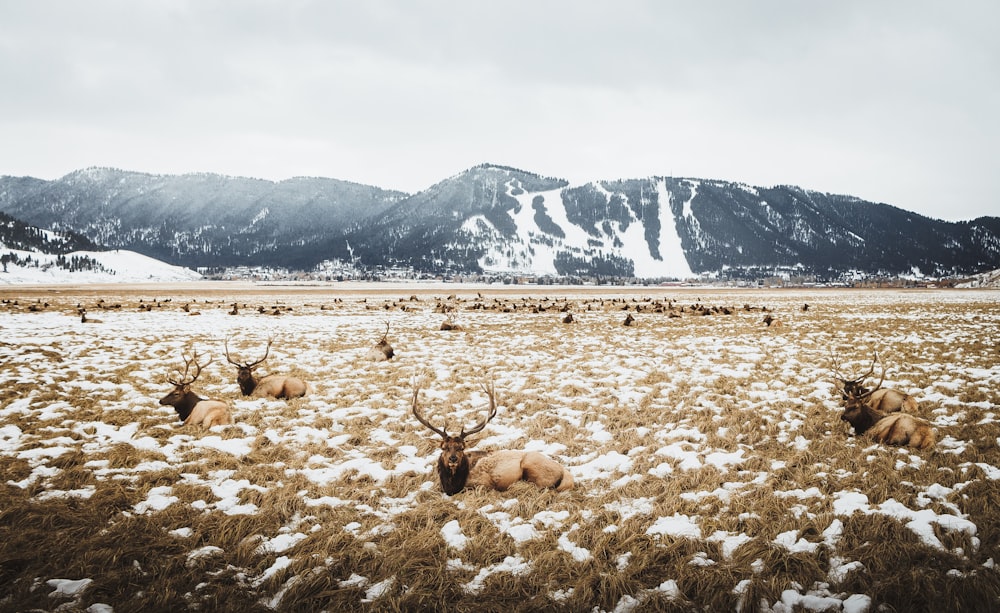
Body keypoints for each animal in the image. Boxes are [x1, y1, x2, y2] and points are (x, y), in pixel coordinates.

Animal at [410, 380, 576, 494]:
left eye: (462, 447)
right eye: (444, 447)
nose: (453, 458)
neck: (452, 485)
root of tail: (567, 474)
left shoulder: (483, 483)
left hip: (533, 467)